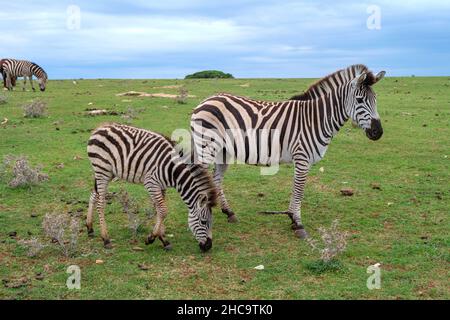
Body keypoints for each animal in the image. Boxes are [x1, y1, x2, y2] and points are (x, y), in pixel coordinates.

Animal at [87, 124, 217, 251]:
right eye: (203, 222)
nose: (208, 246)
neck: (172, 171)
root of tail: (99, 128)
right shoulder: (151, 183)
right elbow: (163, 211)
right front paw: (151, 238)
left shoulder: (161, 186)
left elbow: (158, 210)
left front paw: (163, 239)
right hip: (102, 170)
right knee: (100, 204)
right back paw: (106, 239)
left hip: (108, 173)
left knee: (93, 195)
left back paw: (89, 228)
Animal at [192, 64, 384, 238]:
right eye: (360, 100)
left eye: (375, 99)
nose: (378, 132)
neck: (316, 119)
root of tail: (206, 100)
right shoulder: (302, 157)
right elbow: (299, 190)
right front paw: (298, 223)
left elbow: (296, 189)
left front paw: (292, 218)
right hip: (206, 146)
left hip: (223, 151)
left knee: (216, 179)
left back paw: (229, 212)